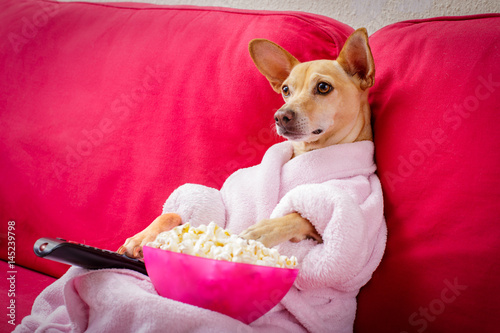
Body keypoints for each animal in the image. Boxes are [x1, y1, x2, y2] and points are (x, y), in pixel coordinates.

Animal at [118, 27, 376, 256]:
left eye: (323, 87)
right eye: (285, 89)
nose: (280, 116)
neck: (306, 153)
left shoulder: (350, 212)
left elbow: (300, 215)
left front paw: (264, 230)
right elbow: (174, 214)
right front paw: (142, 236)